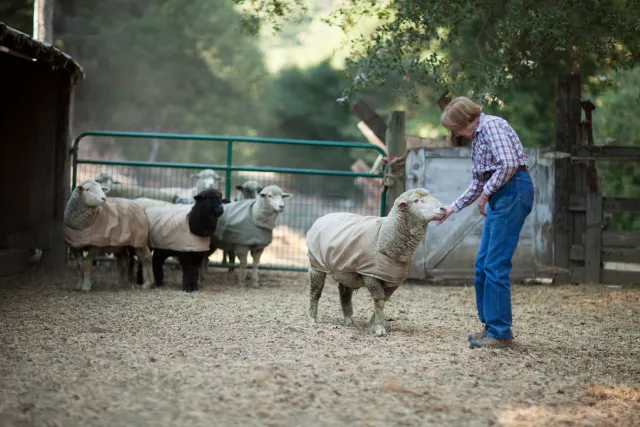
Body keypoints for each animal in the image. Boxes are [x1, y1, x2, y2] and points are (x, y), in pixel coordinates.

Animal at [306, 188, 445, 337]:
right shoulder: (370, 276)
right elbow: (379, 300)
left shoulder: (393, 279)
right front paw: (379, 328)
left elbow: (384, 299)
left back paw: (348, 319)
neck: (383, 237)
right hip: (316, 265)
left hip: (345, 270)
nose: (443, 209)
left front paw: (373, 324)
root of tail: (322, 217)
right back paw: (312, 318)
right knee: (315, 291)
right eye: (416, 200)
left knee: (344, 293)